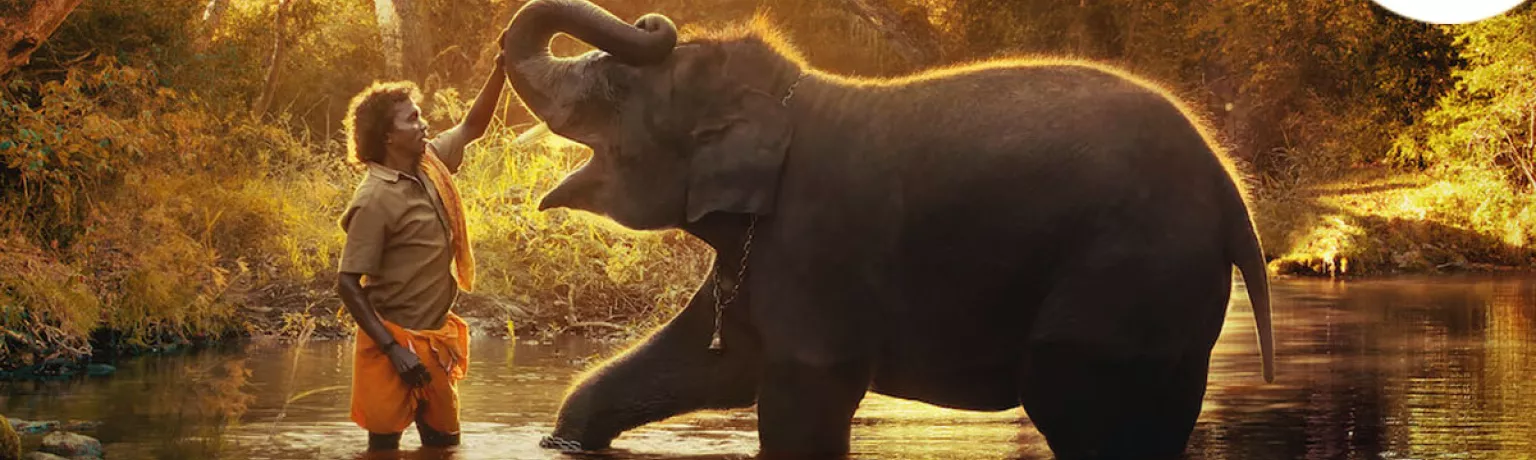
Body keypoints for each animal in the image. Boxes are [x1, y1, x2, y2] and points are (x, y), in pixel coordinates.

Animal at [499, 1, 1276, 458]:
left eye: (613, 90)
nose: (653, 22)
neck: (787, 98)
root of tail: (1232, 196)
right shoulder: (762, 249)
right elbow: (713, 365)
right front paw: (566, 441)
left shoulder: (815, 240)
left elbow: (802, 391)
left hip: (1128, 272)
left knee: (1073, 399)